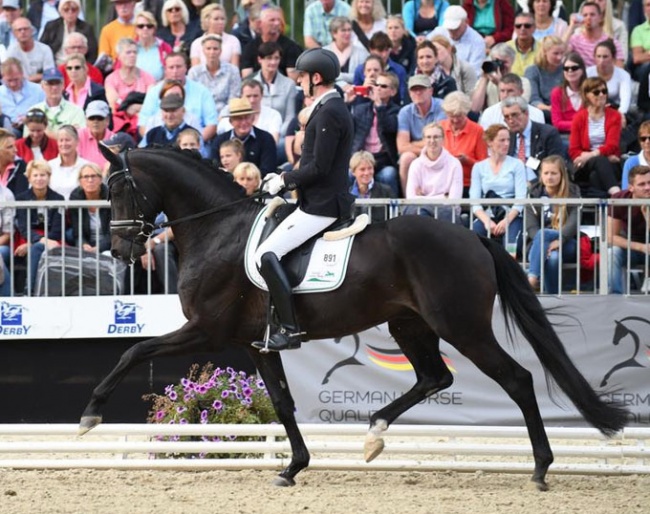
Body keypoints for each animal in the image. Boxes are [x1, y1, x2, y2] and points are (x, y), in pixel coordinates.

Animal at [78, 147, 624, 488]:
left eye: (119, 189)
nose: (122, 251)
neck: (219, 229)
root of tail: (473, 236)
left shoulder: (207, 331)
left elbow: (134, 349)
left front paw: (90, 415)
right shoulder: (257, 343)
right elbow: (282, 403)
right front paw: (293, 467)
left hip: (461, 327)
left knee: (516, 378)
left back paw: (541, 468)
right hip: (410, 324)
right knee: (435, 376)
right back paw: (374, 433)